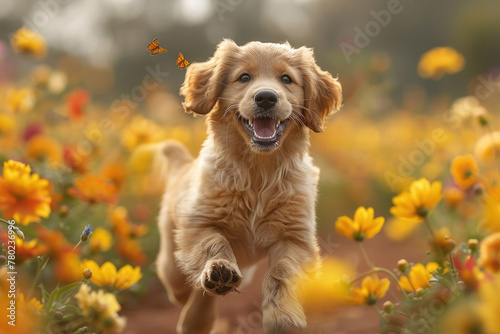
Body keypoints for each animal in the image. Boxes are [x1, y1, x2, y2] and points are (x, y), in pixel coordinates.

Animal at [158, 39, 342, 334]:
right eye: (244, 77)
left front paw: (283, 317)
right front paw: (219, 269)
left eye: (286, 79)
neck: (258, 173)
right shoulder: (199, 223)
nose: (266, 97)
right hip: (170, 251)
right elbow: (214, 243)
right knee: (177, 281)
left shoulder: (295, 237)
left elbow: (282, 272)